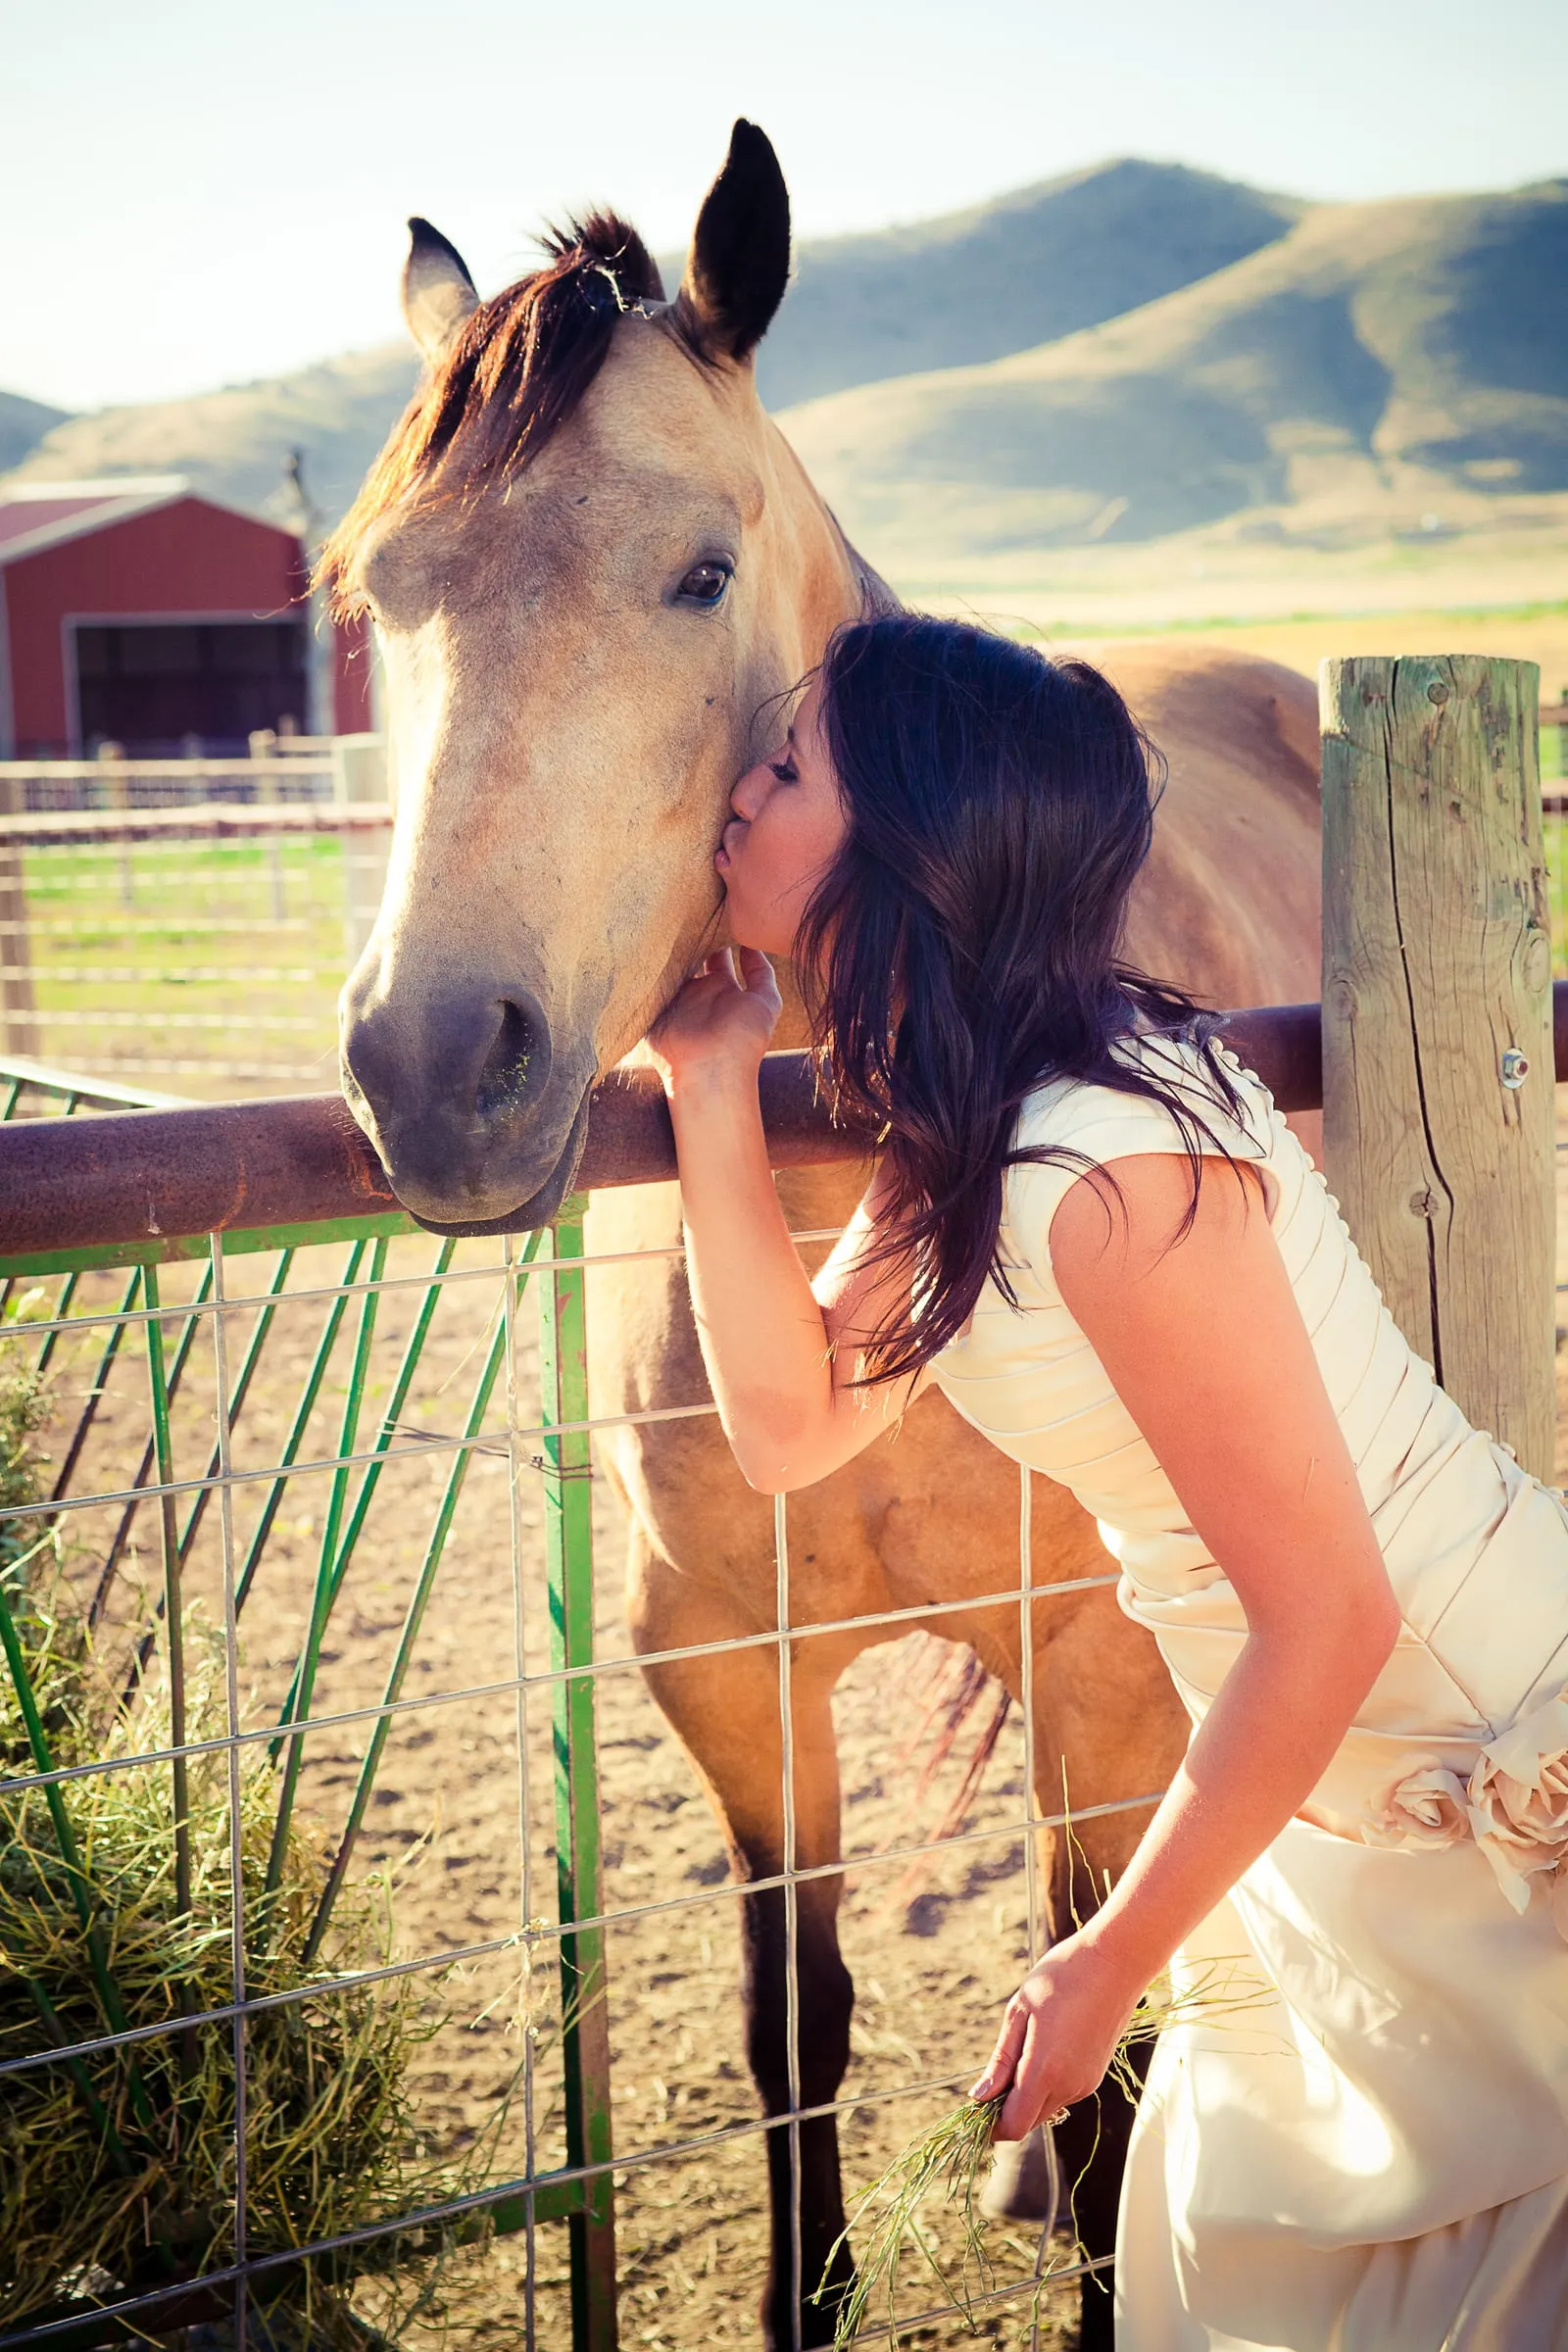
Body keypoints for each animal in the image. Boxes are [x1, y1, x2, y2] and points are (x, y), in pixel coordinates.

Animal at [322, 121, 1322, 2349]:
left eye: (699, 571)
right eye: (372, 595)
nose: (432, 1061)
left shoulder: (1105, 1657)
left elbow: (1096, 2019)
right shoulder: (724, 1668)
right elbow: (800, 2029)